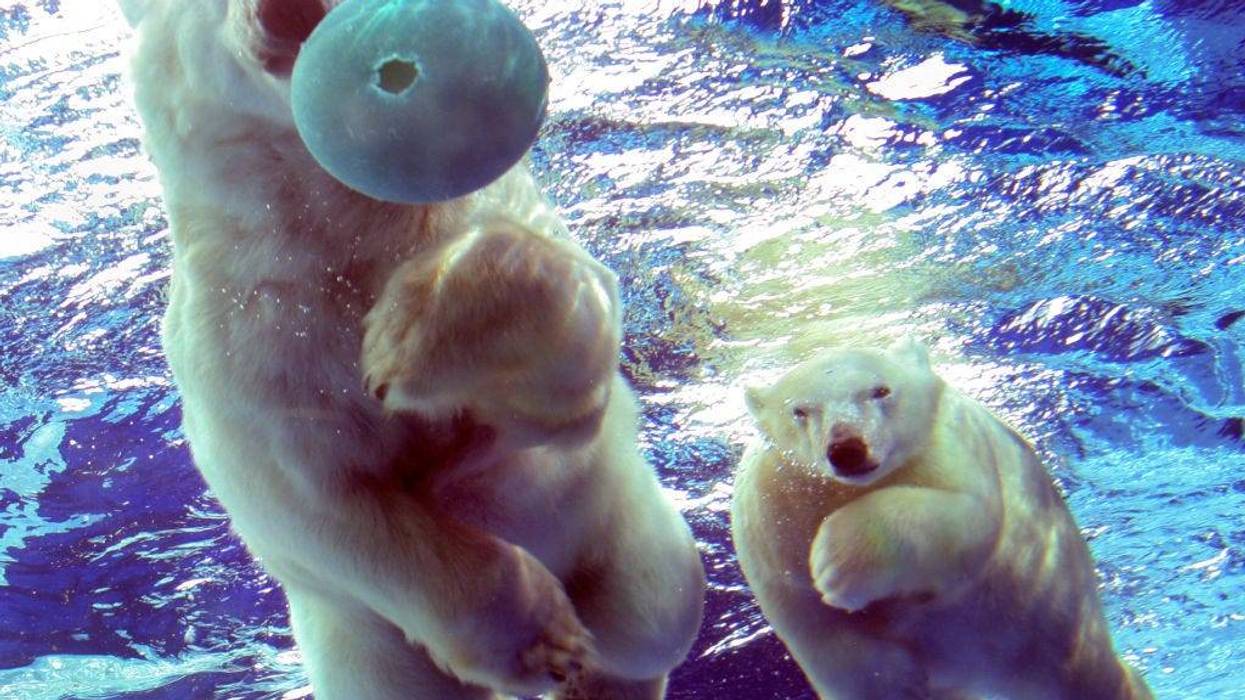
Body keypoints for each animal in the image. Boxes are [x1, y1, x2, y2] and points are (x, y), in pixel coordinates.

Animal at [117, 1, 704, 698]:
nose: (293, 11)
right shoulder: (245, 342)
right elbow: (305, 497)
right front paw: (540, 638)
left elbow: (557, 357)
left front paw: (407, 340)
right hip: (362, 646)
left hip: (619, 529)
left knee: (649, 616)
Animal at [731, 338, 1153, 699]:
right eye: (800, 410)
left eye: (880, 390)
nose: (847, 449)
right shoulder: (774, 516)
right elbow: (817, 625)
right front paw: (896, 682)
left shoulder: (948, 447)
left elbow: (965, 518)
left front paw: (836, 562)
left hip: (1055, 624)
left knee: (1092, 678)